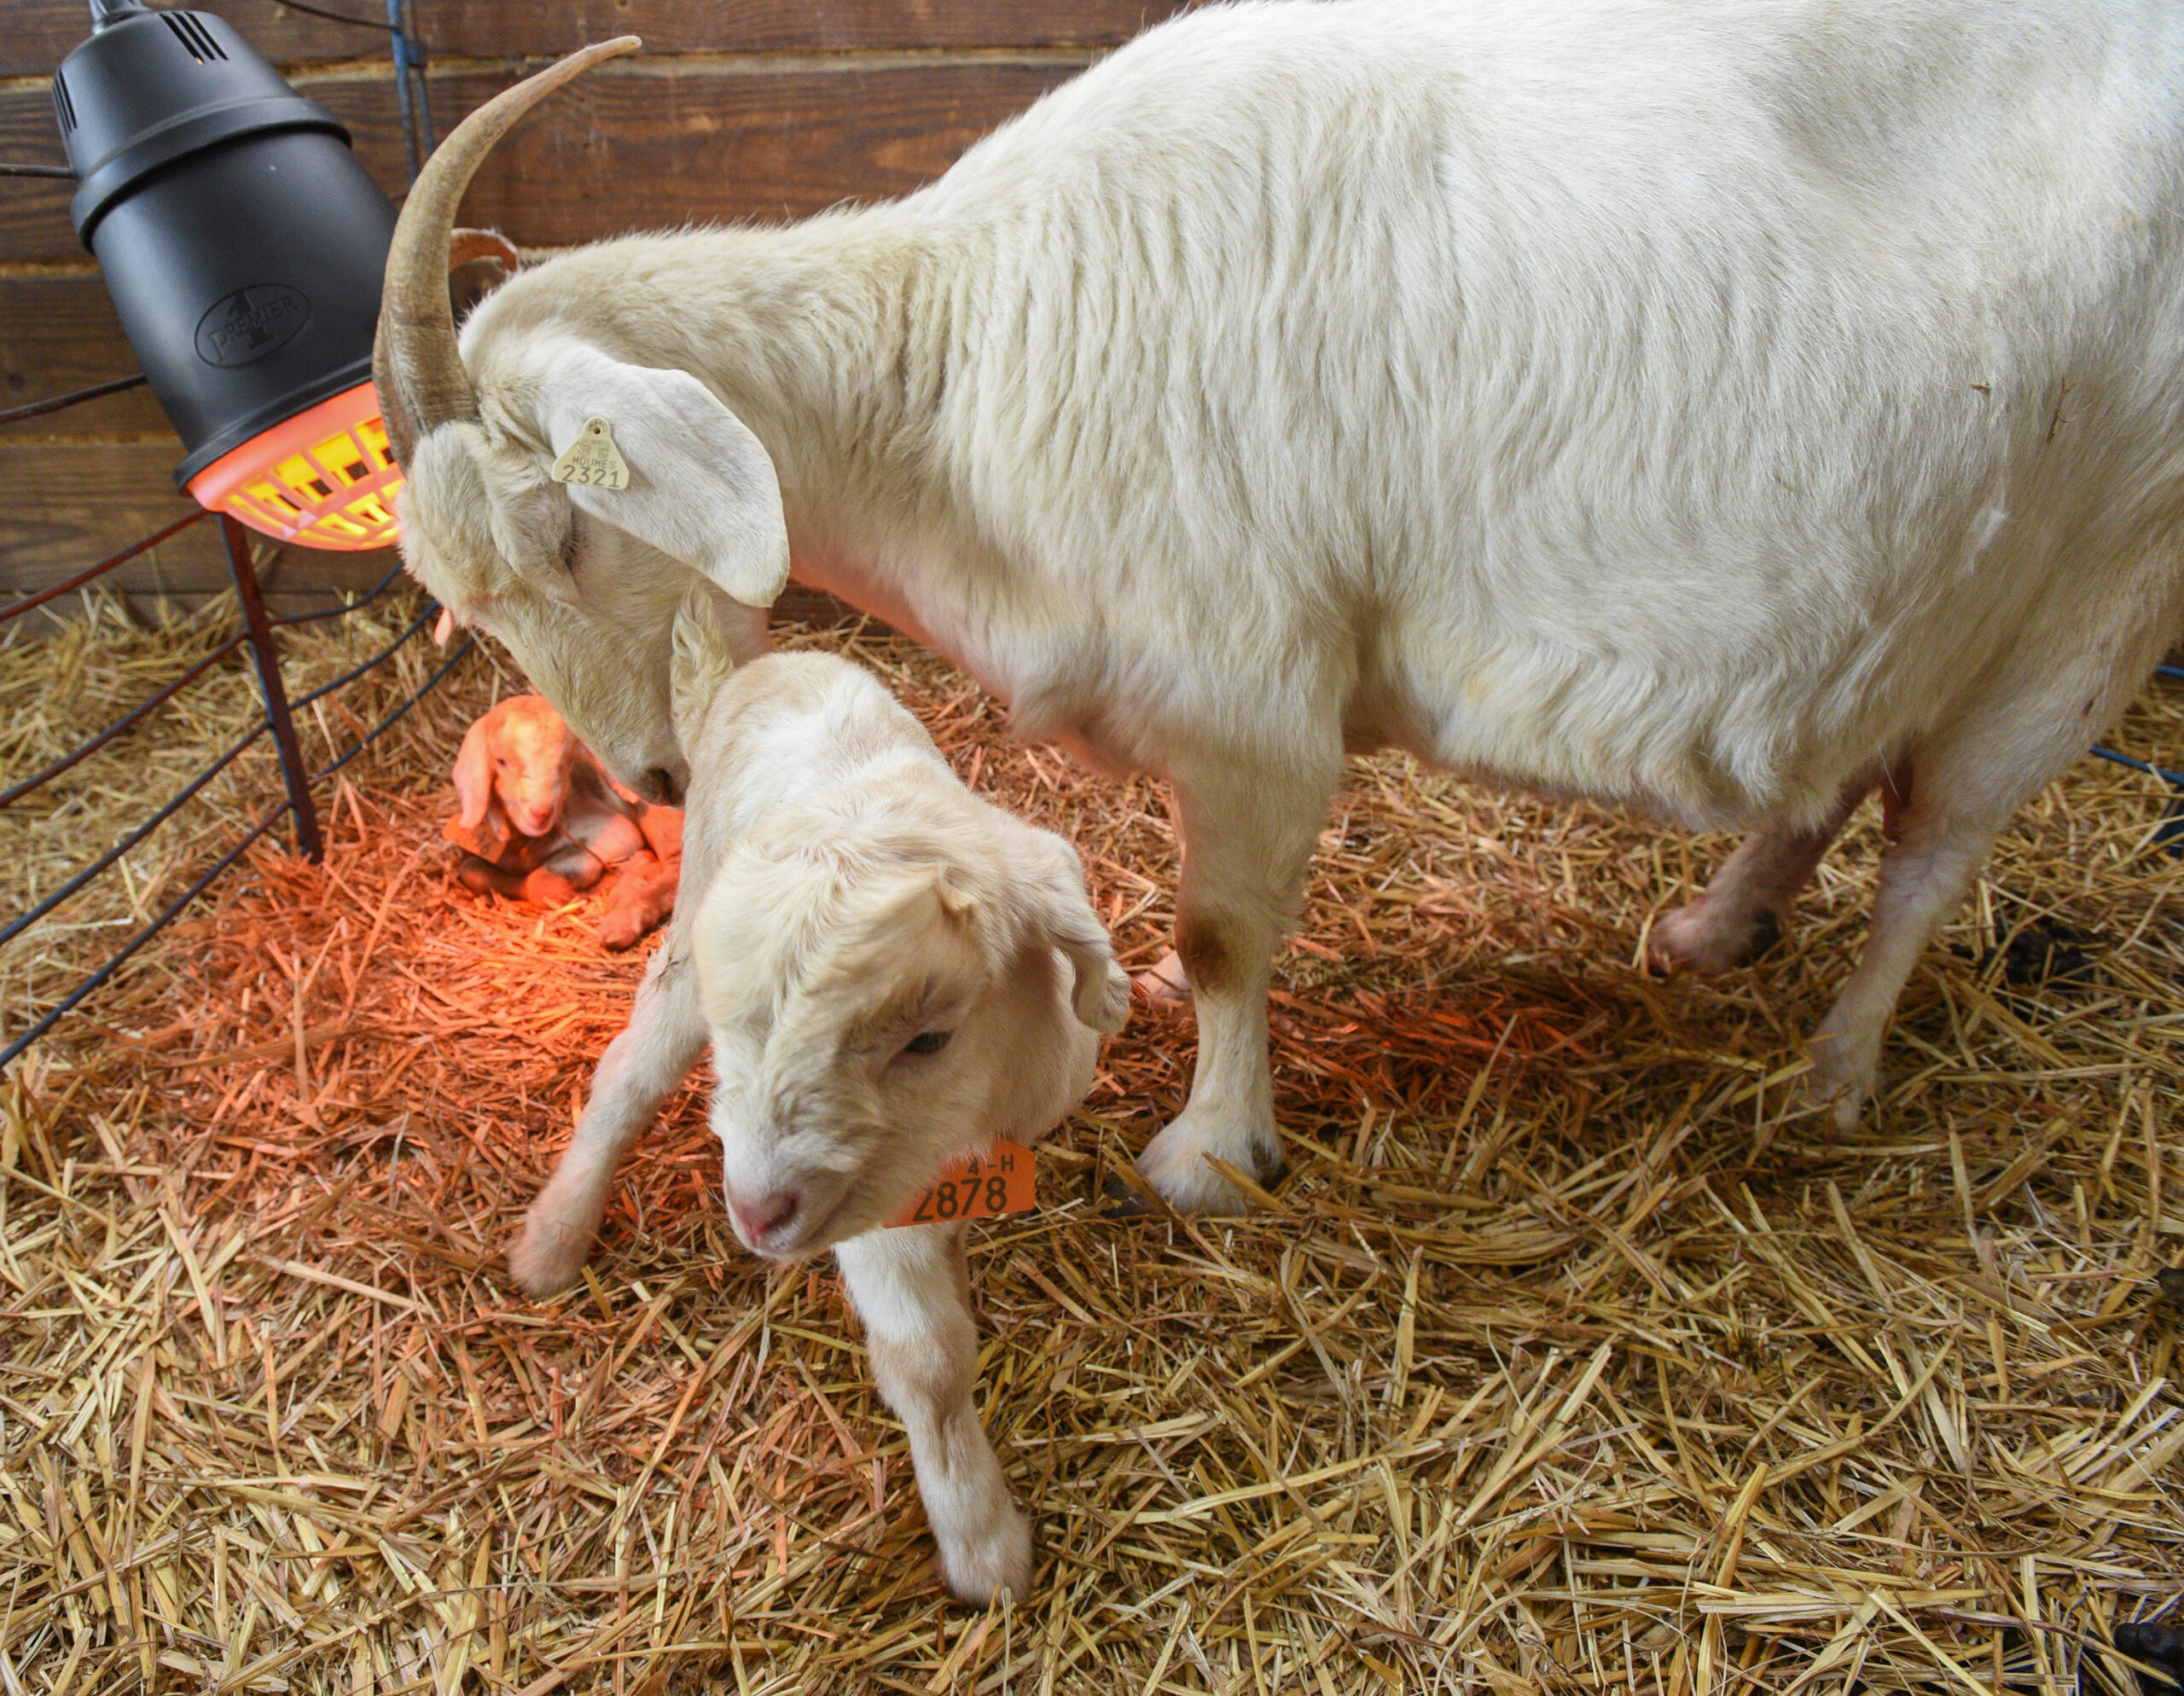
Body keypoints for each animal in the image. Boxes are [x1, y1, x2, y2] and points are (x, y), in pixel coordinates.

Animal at [447, 694, 678, 949]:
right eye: (501, 761)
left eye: (566, 762)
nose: (541, 812)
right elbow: (471, 870)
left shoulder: (615, 833)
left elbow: (541, 883)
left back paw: (622, 921)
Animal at [509, 591, 1129, 1600]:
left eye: (928, 1037)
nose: (755, 1214)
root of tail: (751, 670)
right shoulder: (871, 1201)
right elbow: (928, 1360)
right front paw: (983, 1544)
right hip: (689, 937)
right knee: (627, 1074)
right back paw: (553, 1240)